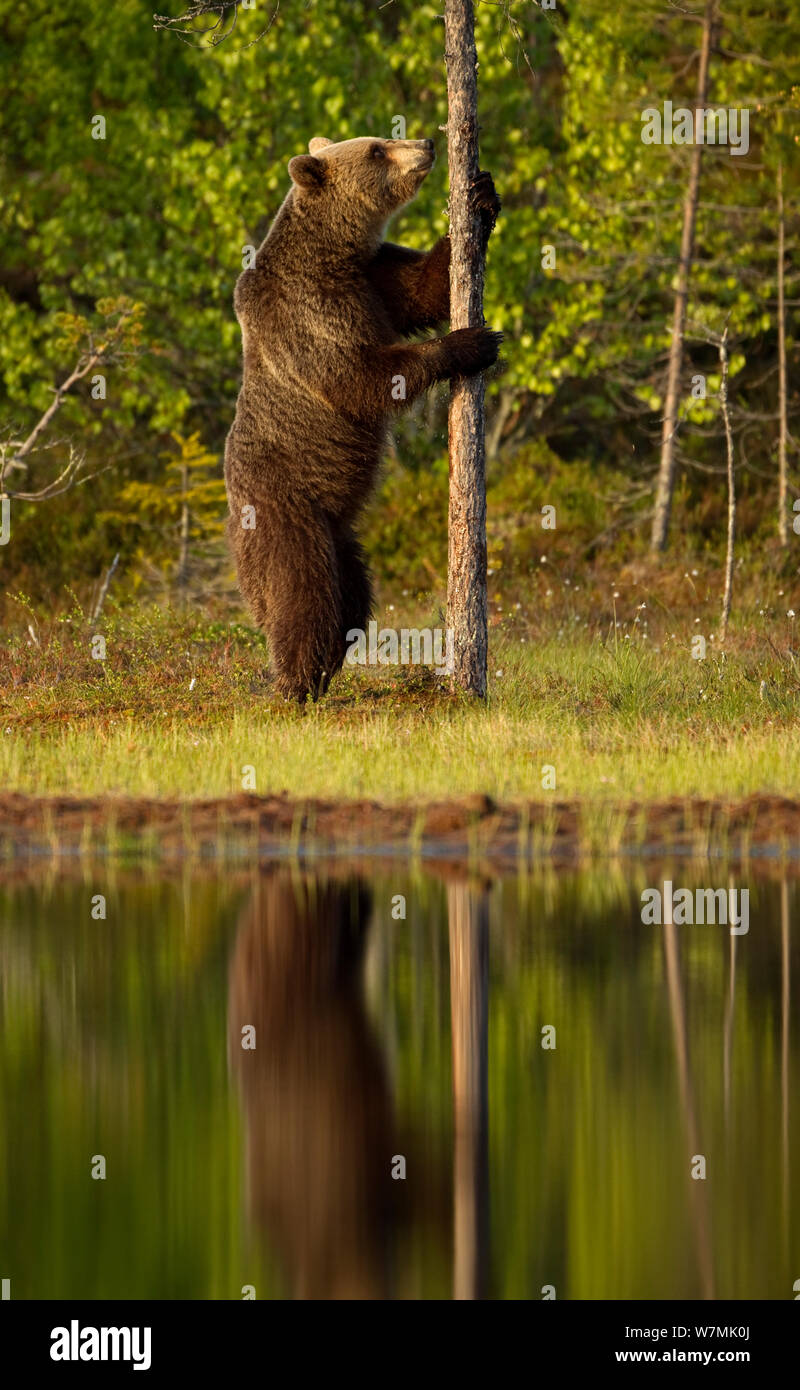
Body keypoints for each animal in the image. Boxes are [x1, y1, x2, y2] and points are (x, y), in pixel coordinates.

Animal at [224, 135, 499, 700]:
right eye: (376, 149)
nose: (426, 143)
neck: (334, 253)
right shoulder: (308, 311)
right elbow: (358, 376)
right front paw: (471, 342)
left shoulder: (372, 275)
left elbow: (425, 287)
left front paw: (482, 195)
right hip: (285, 508)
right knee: (302, 593)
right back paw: (294, 682)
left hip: (340, 533)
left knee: (351, 597)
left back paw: (326, 666)